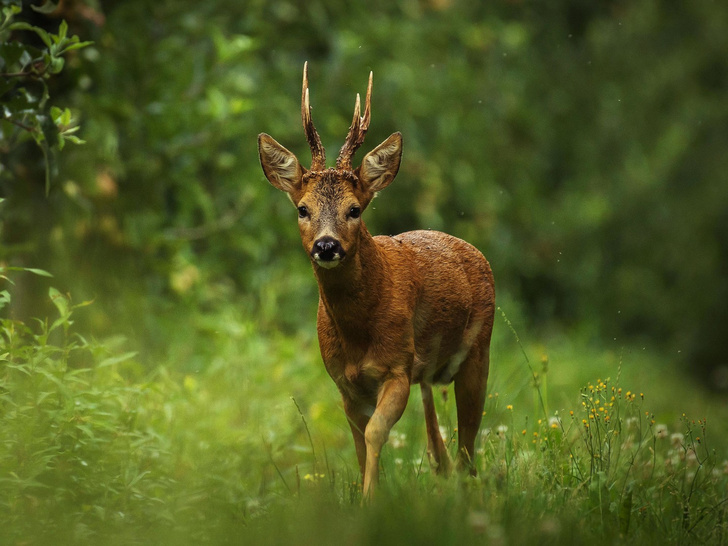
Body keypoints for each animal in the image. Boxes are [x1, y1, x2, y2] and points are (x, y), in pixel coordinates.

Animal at [258, 63, 494, 498]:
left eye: (354, 209)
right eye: (302, 208)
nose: (327, 245)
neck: (358, 334)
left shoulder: (396, 366)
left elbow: (374, 434)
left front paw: (370, 500)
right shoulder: (344, 382)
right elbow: (358, 444)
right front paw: (373, 495)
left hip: (478, 351)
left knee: (469, 445)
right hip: (428, 368)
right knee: (439, 441)